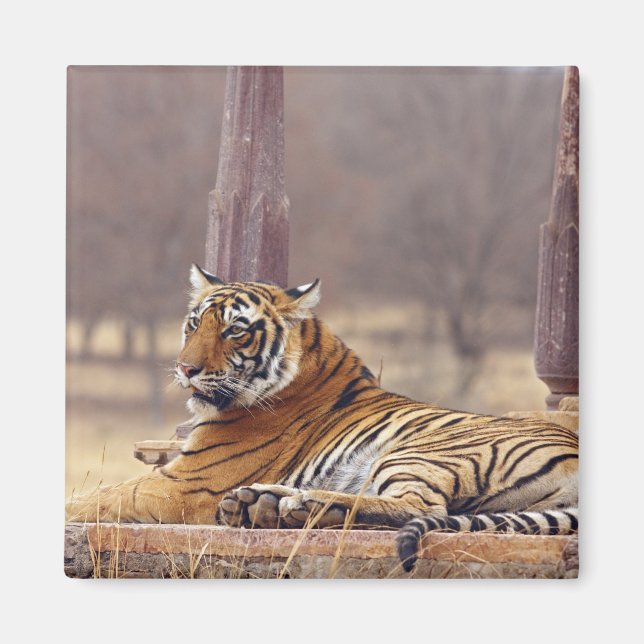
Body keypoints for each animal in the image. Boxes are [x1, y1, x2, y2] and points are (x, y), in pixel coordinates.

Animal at [66, 264, 578, 572]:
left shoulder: (186, 483)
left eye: (234, 330)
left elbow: (96, 496)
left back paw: (298, 505)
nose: (185, 369)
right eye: (195, 323)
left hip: (422, 452)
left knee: (422, 508)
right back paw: (267, 506)